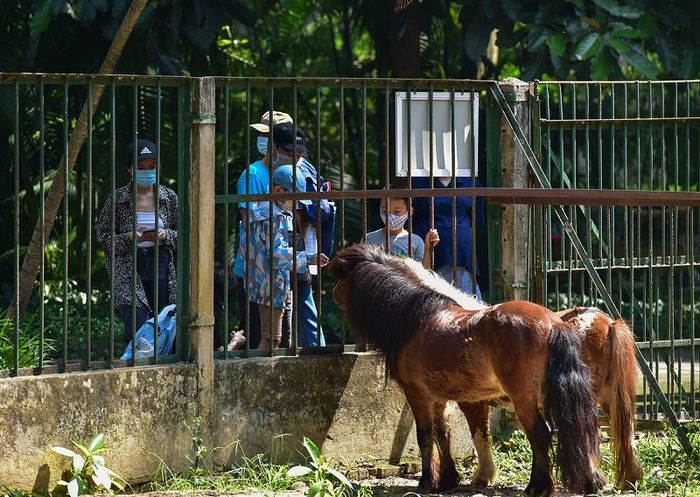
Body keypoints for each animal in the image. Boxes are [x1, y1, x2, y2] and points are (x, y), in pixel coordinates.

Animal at [330, 244, 600, 496]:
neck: (414, 321)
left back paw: (538, 487)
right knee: (578, 426)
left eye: (341, 277)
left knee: (541, 434)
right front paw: (447, 479)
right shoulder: (439, 398)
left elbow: (424, 436)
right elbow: (443, 433)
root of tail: (554, 323)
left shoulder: (417, 395)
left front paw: (426, 482)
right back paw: (590, 482)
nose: (332, 294)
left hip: (524, 399)